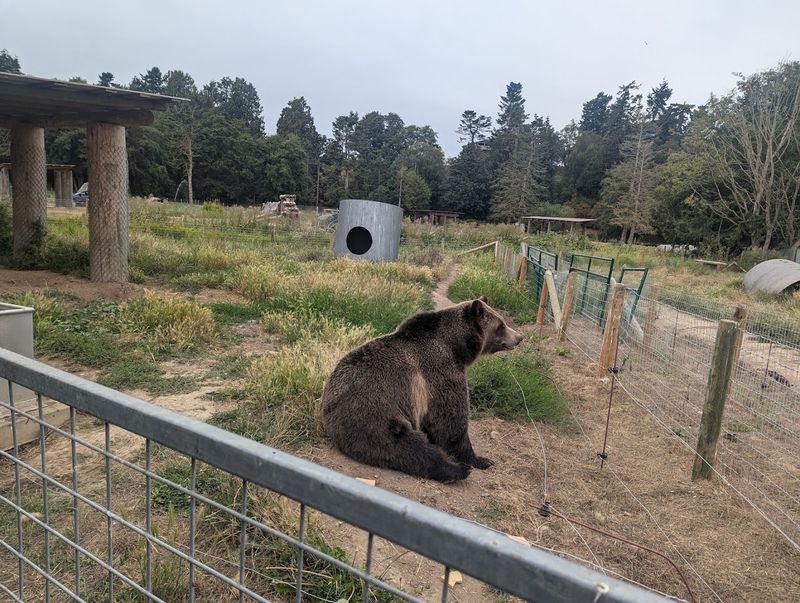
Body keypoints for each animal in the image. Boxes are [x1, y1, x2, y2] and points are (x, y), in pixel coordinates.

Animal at [320, 297, 524, 483]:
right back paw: (456, 470)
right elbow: (450, 421)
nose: (519, 337)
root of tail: (326, 407)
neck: (456, 347)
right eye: (501, 325)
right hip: (373, 414)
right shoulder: (440, 373)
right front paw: (480, 459)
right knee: (405, 445)